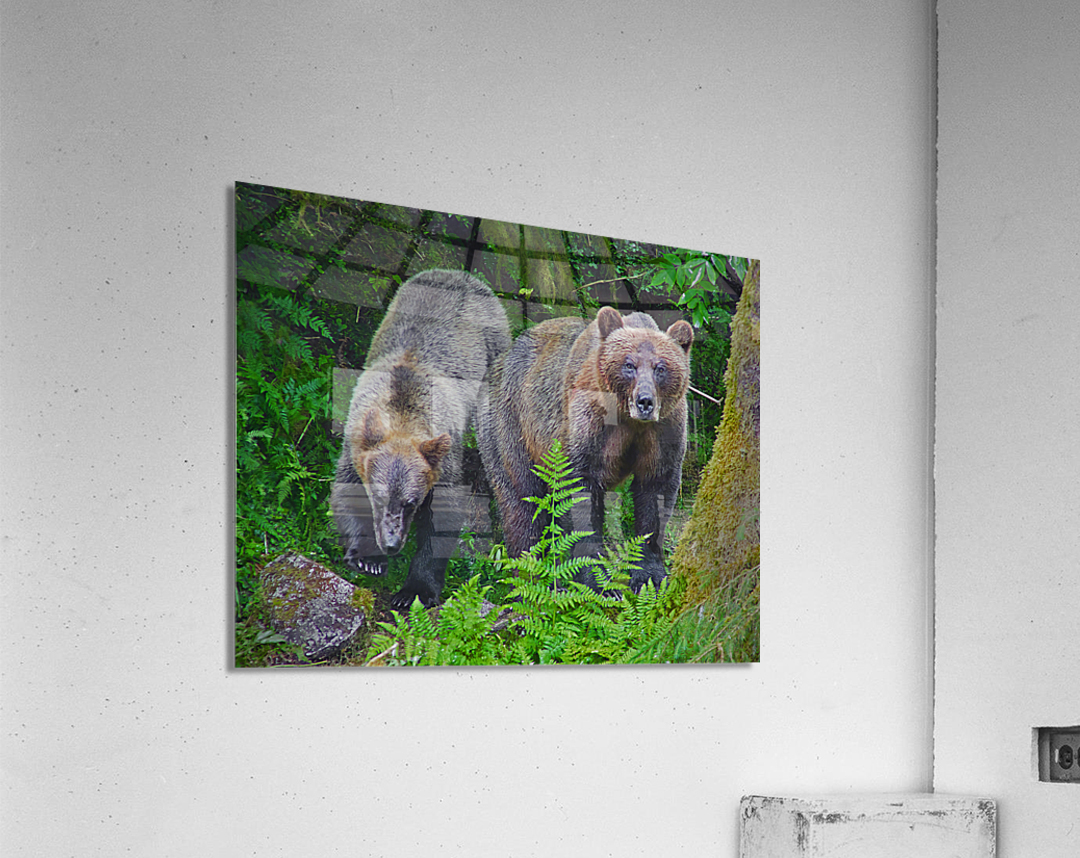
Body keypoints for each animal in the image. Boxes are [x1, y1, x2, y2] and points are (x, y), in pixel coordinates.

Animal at [330, 269, 511, 609]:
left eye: (410, 501)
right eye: (378, 496)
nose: (390, 543)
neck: (402, 417)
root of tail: (462, 275)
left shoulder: (444, 459)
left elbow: (442, 517)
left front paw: (415, 590)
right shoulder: (357, 441)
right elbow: (345, 491)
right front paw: (367, 559)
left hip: (493, 347)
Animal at [479, 305, 693, 591]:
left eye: (661, 367)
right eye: (629, 365)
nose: (645, 401)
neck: (628, 420)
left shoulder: (663, 430)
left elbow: (655, 488)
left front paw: (650, 574)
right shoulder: (587, 424)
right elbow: (579, 489)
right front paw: (597, 580)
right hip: (508, 425)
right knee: (521, 500)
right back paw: (527, 577)